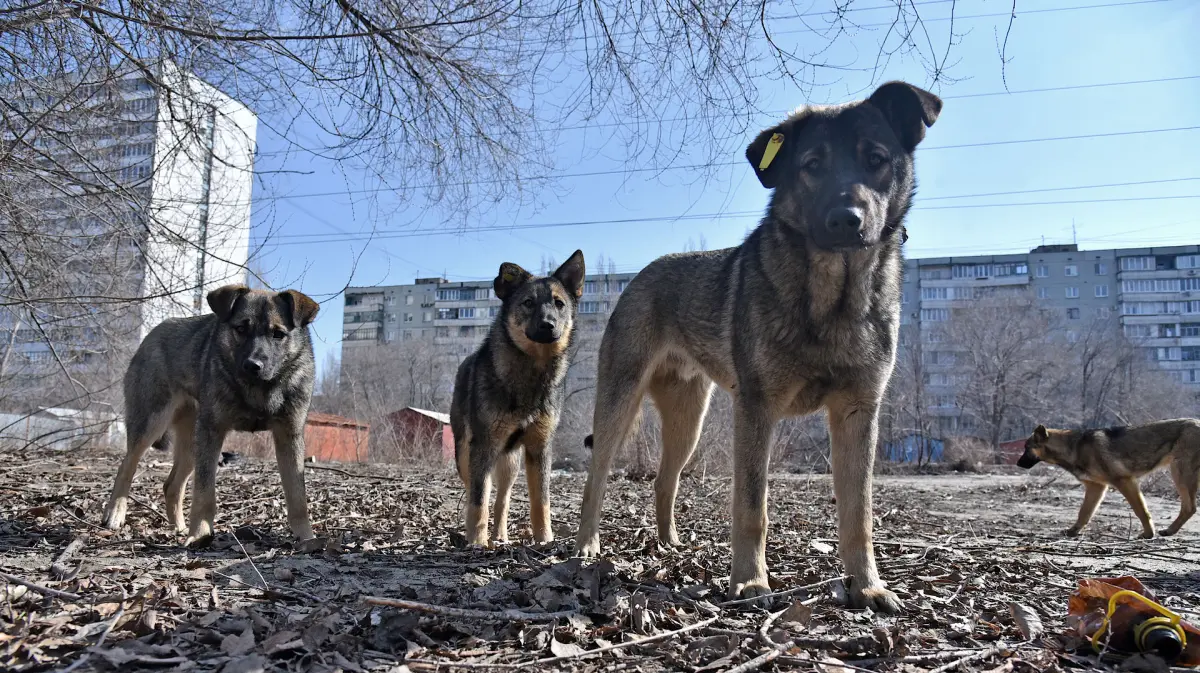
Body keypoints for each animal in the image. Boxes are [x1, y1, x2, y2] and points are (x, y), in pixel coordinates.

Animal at [103, 284, 321, 547]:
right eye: (241, 329)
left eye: (278, 334)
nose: (253, 365)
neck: (258, 390)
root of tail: (154, 332)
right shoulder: (212, 432)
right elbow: (204, 492)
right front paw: (200, 533)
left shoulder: (289, 436)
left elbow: (297, 496)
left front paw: (306, 538)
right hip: (152, 424)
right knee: (126, 466)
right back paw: (115, 512)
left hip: (191, 444)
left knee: (171, 485)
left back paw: (178, 527)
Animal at [451, 251, 585, 547]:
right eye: (528, 303)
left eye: (559, 304)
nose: (548, 325)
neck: (532, 374)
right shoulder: (483, 446)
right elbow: (478, 501)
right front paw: (477, 543)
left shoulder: (539, 448)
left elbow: (541, 502)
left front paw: (545, 540)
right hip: (466, 456)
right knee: (478, 492)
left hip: (510, 464)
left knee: (502, 500)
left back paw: (500, 536)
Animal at [576, 81, 940, 611]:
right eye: (812, 164)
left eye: (876, 158)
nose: (845, 220)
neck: (831, 301)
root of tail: (641, 275)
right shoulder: (757, 411)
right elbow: (752, 508)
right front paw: (750, 583)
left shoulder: (858, 414)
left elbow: (859, 515)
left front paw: (868, 585)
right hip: (619, 406)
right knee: (597, 479)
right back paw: (586, 546)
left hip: (688, 422)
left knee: (665, 480)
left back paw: (668, 544)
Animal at [1017, 417, 1200, 537]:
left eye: (1027, 448)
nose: (1018, 464)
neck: (1073, 447)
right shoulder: (1096, 487)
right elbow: (1084, 512)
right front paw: (1074, 531)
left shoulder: (1125, 481)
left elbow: (1141, 510)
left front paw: (1148, 533)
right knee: (1189, 508)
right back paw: (1170, 531)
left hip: (1180, 474)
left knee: (1190, 507)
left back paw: (1169, 530)